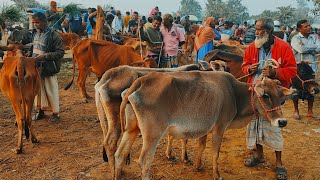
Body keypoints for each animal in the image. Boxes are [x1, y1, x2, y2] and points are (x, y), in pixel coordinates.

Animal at [116, 72, 294, 180]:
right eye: (265, 95)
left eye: (280, 95)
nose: (282, 122)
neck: (235, 93)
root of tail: (143, 79)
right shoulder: (219, 128)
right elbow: (215, 154)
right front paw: (217, 174)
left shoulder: (204, 129)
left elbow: (201, 147)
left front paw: (197, 165)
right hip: (152, 135)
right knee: (144, 161)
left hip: (132, 129)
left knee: (119, 154)